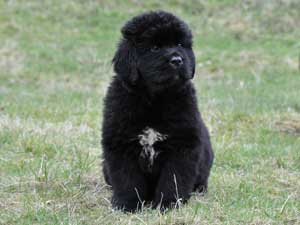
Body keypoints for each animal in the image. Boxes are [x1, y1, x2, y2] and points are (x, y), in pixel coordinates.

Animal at [102, 10, 214, 211]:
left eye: (179, 44)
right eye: (154, 47)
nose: (177, 60)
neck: (155, 100)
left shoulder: (182, 146)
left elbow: (173, 179)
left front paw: (168, 204)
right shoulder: (120, 144)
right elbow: (127, 179)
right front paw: (127, 204)